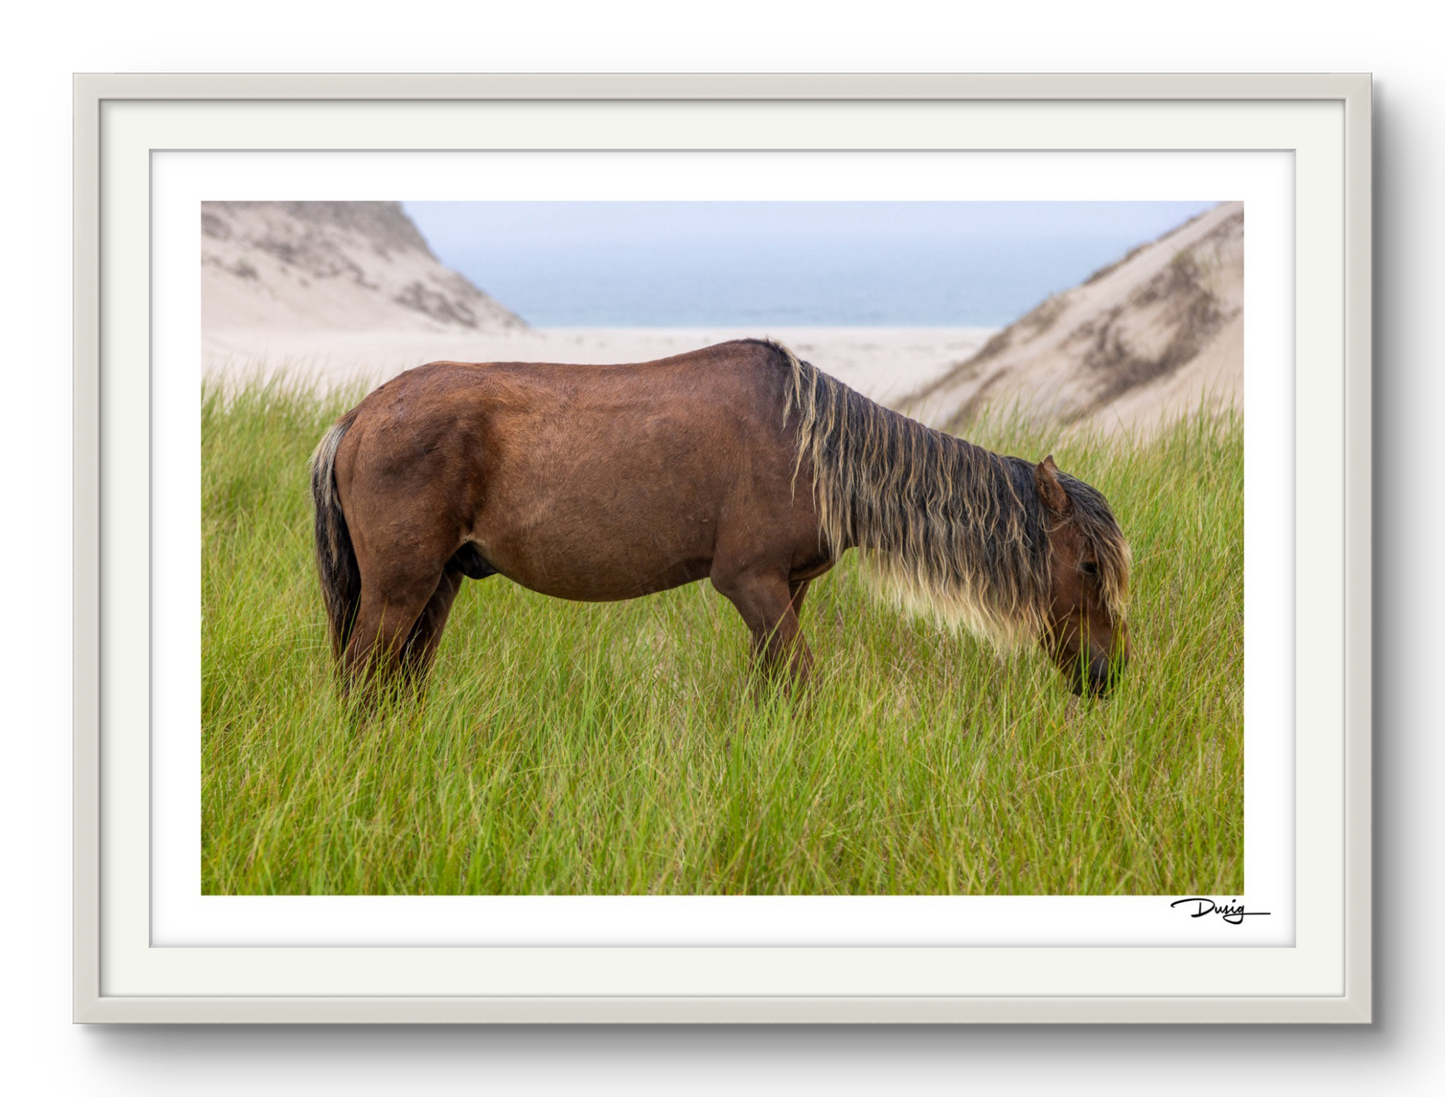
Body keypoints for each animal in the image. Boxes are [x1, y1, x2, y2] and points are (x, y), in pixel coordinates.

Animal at [310, 341, 1132, 702]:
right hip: (399, 589)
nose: (1109, 676)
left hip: (439, 586)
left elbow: (772, 688)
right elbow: (803, 686)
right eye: (1089, 566)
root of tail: (359, 416)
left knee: (397, 686)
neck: (814, 447)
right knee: (360, 683)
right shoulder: (749, 582)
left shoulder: (787, 588)